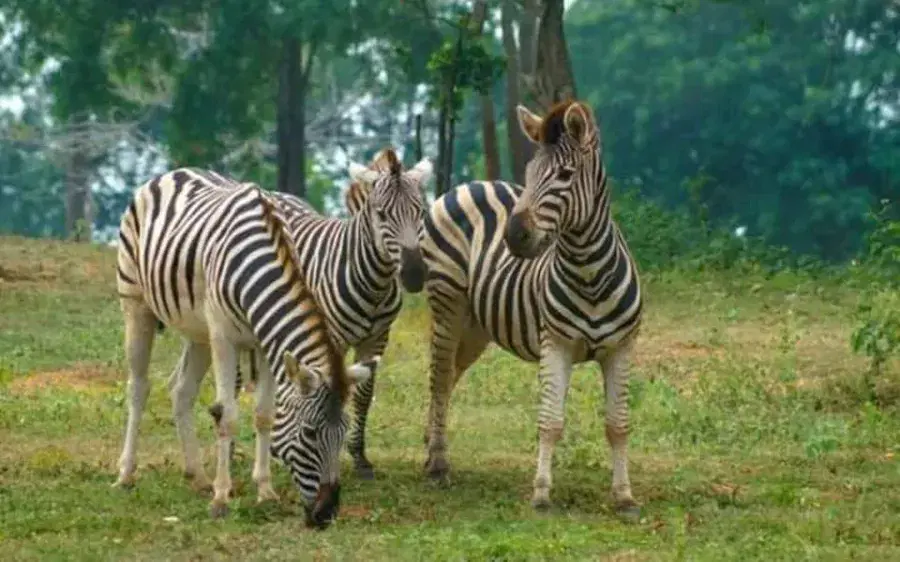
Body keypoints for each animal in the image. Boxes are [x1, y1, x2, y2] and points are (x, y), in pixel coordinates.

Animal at [114, 168, 377, 527]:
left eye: (344, 431)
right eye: (310, 433)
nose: (326, 515)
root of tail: (174, 172)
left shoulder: (264, 344)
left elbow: (265, 415)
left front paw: (265, 491)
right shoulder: (224, 338)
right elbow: (227, 416)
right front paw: (222, 499)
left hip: (198, 330)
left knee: (181, 390)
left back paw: (198, 477)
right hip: (136, 303)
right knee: (139, 387)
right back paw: (126, 474)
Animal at [419, 99, 644, 518]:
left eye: (565, 174)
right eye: (528, 174)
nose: (513, 237)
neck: (589, 274)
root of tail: (470, 183)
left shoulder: (622, 348)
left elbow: (617, 424)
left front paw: (624, 496)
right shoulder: (556, 344)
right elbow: (550, 422)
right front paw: (541, 494)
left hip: (476, 326)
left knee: (450, 375)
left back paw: (430, 444)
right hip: (447, 302)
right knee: (440, 378)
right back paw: (438, 464)